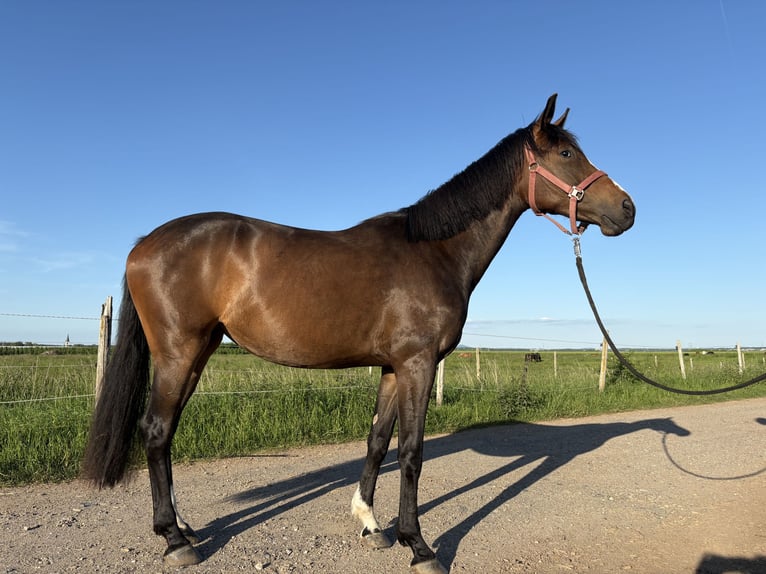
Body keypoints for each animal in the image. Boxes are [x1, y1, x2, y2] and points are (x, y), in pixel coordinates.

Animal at [82, 94, 635, 573]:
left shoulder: (393, 367)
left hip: (199, 351)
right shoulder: (417, 364)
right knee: (156, 430)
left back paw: (183, 527)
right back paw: (175, 540)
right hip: (180, 351)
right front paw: (419, 546)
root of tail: (144, 244)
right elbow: (411, 452)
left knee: (167, 432)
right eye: (566, 153)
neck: (434, 251)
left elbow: (377, 442)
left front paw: (371, 523)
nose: (627, 209)